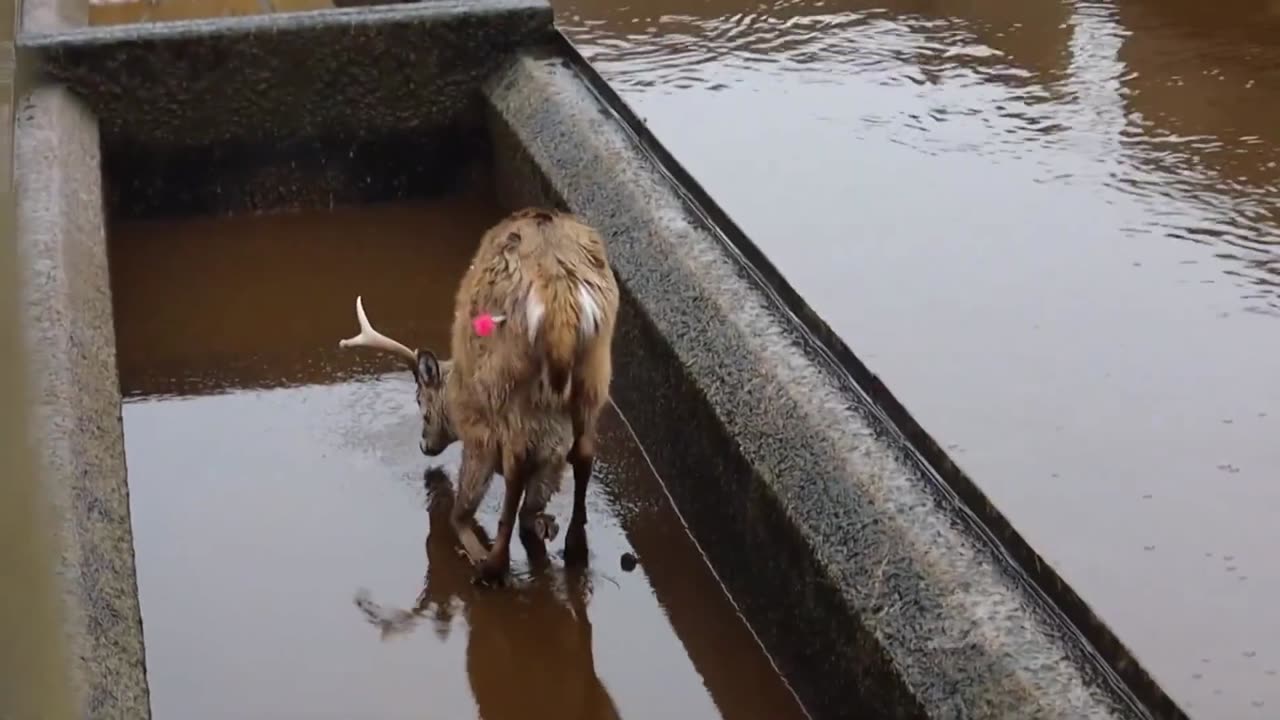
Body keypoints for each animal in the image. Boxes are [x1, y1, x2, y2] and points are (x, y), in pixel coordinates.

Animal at [340, 206, 619, 584]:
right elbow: (535, 502)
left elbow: (462, 509)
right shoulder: (552, 450)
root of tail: (558, 292)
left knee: (514, 468)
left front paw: (474, 546)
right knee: (585, 452)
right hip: (595, 371)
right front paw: (547, 528)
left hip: (507, 378)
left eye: (421, 404)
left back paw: (492, 565)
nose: (424, 445)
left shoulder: (479, 434)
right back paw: (575, 548)